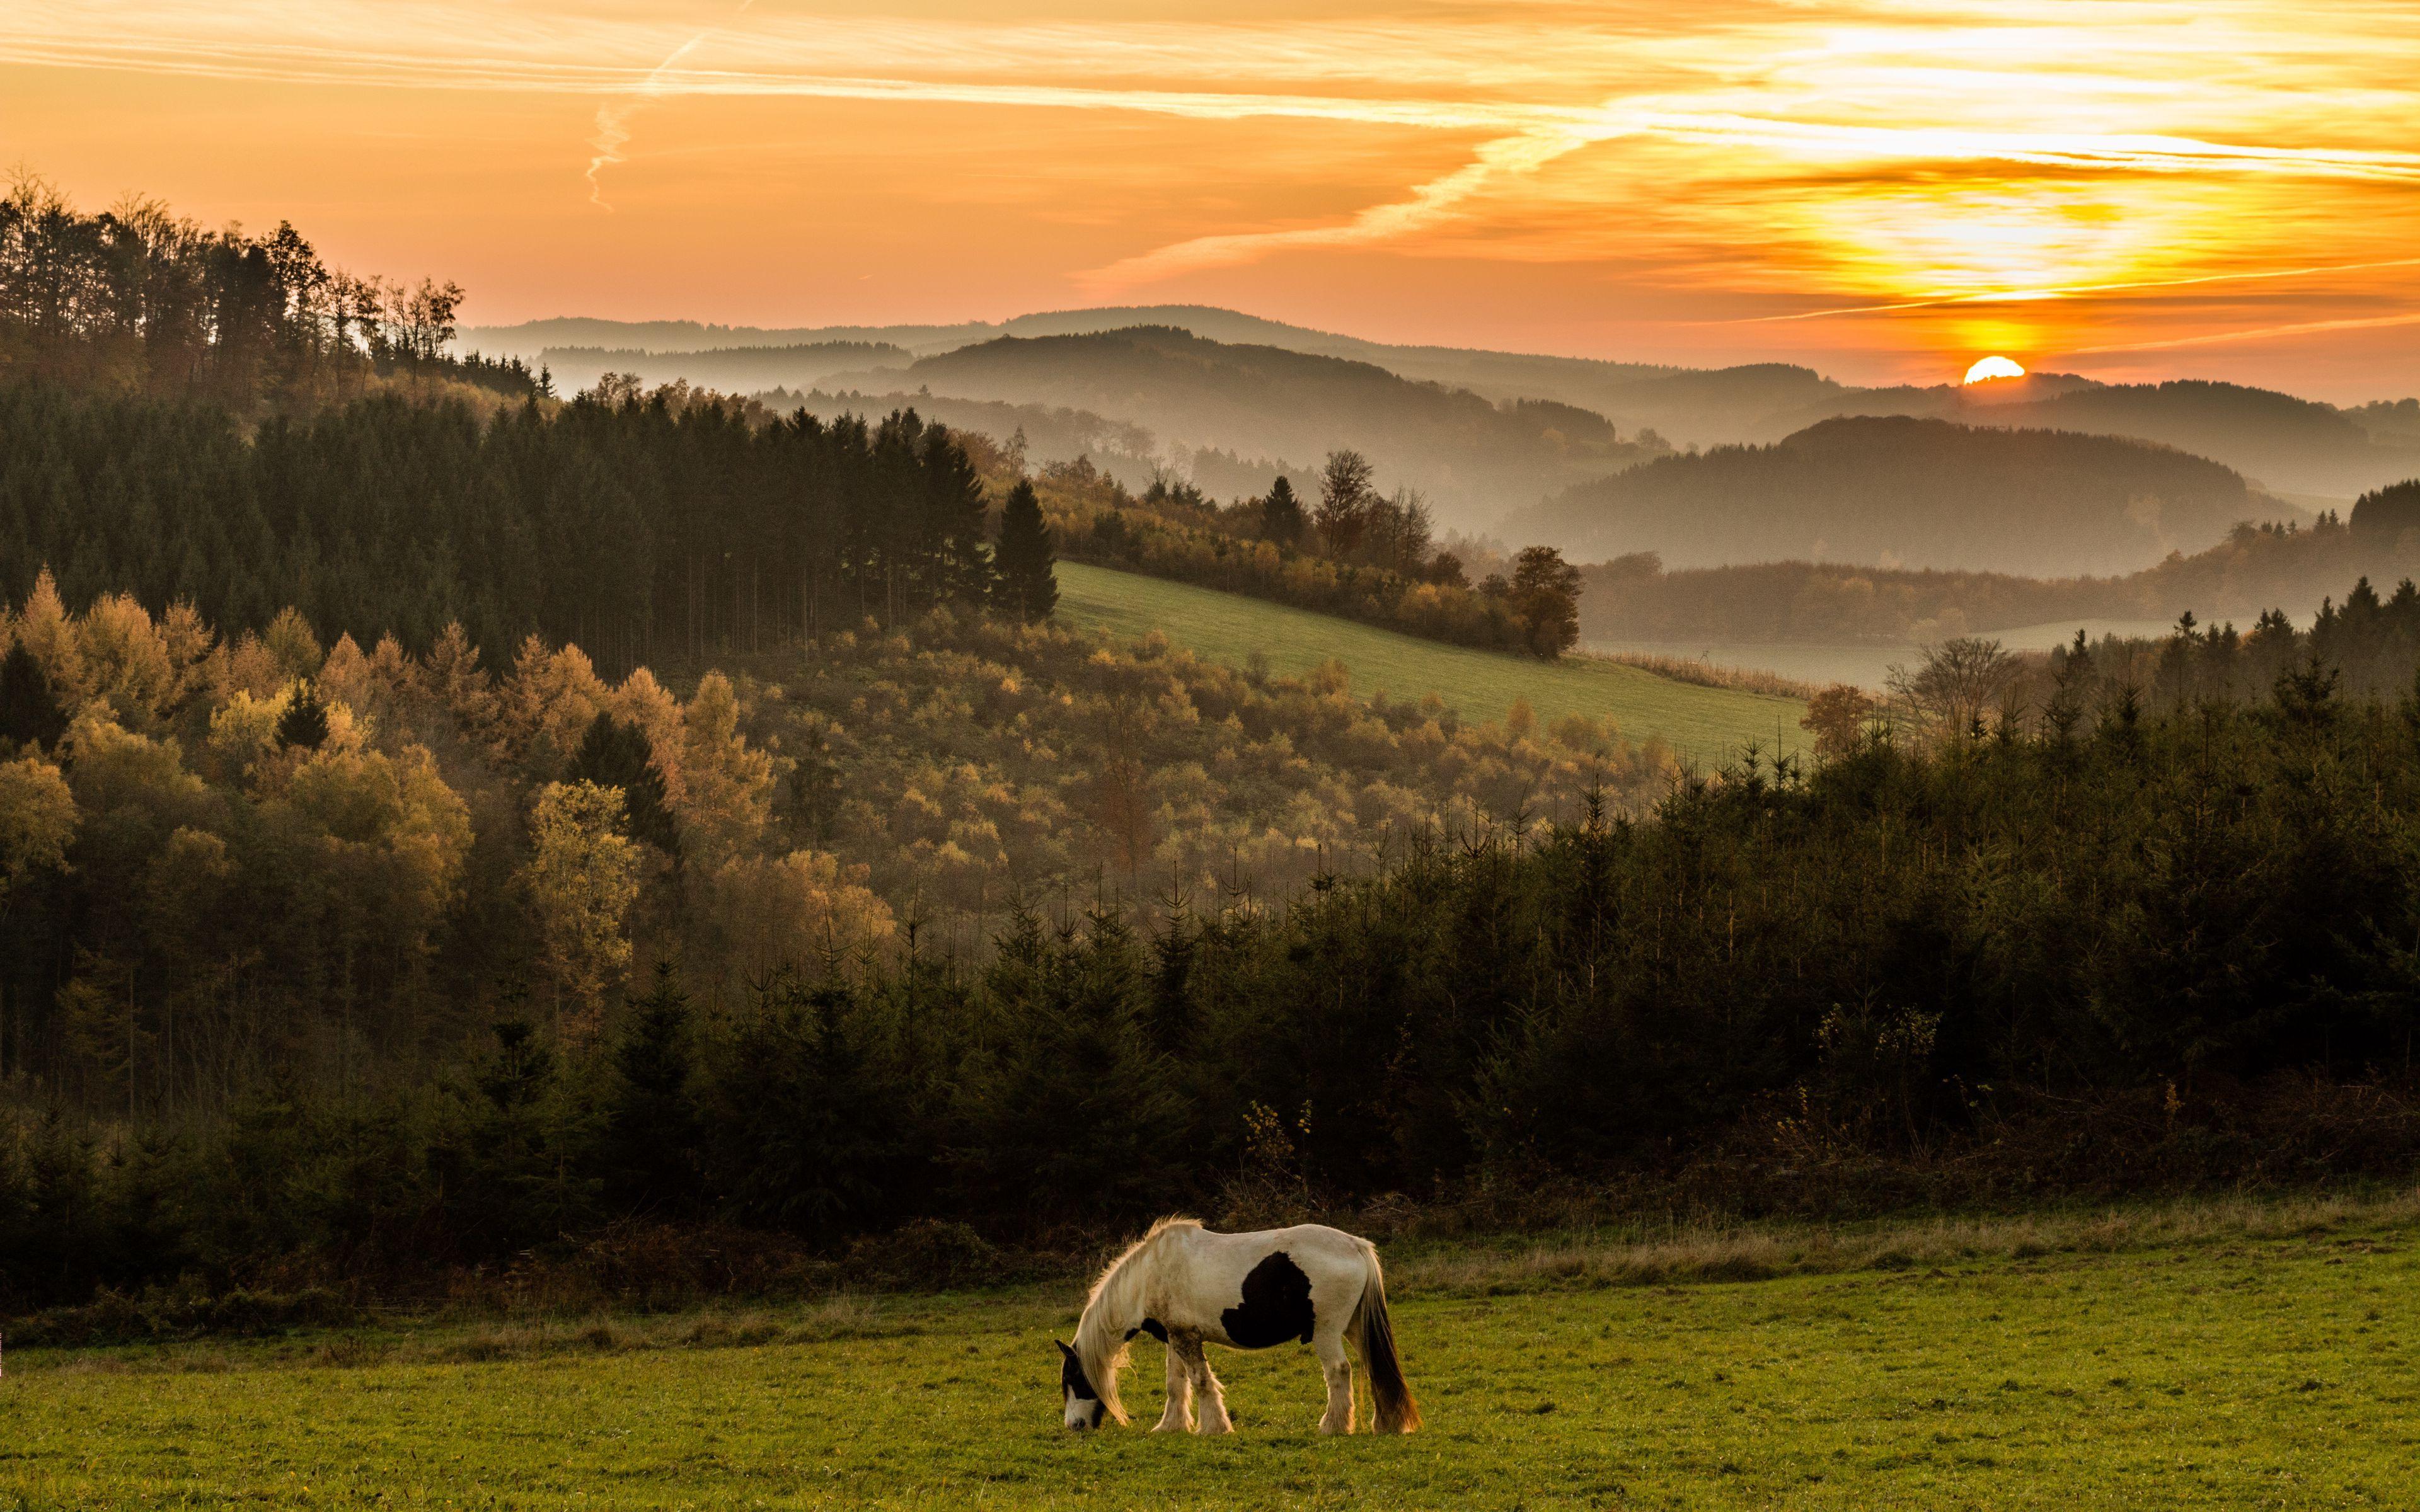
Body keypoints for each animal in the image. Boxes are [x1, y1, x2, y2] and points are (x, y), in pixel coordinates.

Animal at [1054, 1217, 1420, 1435]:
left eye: (1072, 1379)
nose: (1074, 1426)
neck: (1149, 1276)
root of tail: (1355, 1245)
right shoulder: (1174, 1338)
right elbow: (1176, 1385)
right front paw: (1171, 1427)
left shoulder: (1186, 1338)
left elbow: (1201, 1381)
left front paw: (1213, 1428)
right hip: (1356, 1328)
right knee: (1374, 1368)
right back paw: (1385, 1425)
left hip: (1327, 1332)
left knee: (1339, 1372)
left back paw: (1333, 1426)